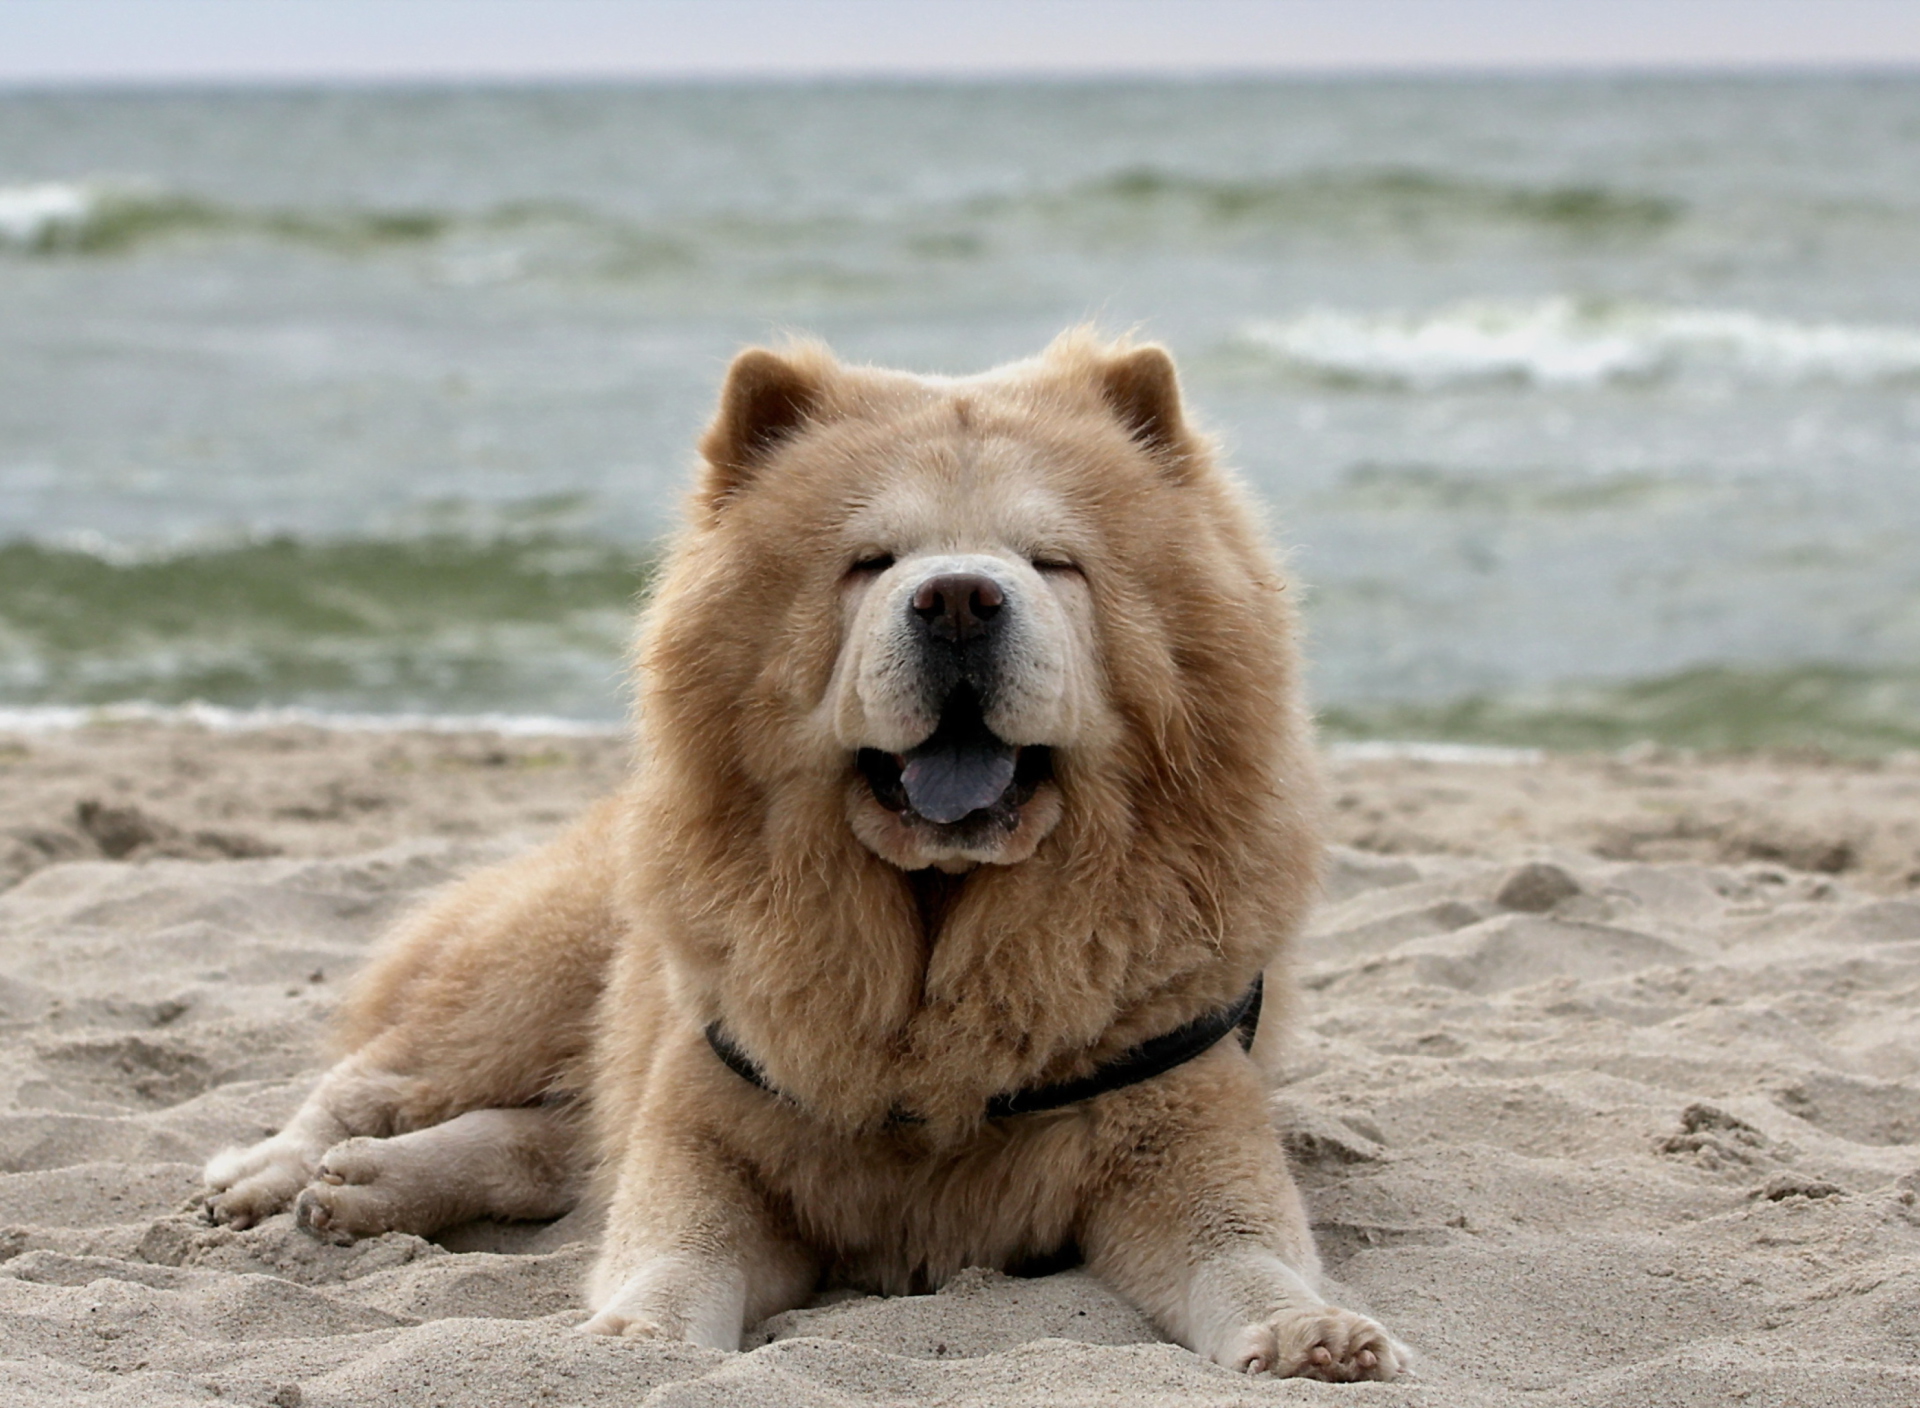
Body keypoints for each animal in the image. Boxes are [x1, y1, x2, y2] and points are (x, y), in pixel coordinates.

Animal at [206, 332, 1413, 1383]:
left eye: (1054, 563)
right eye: (869, 563)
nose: (960, 597)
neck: (938, 936)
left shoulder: (1179, 1123)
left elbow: (1245, 1249)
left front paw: (1315, 1335)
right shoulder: (711, 1123)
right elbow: (671, 1239)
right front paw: (637, 1337)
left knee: (546, 1143)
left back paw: (361, 1190)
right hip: (531, 977)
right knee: (380, 1079)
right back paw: (273, 1175)